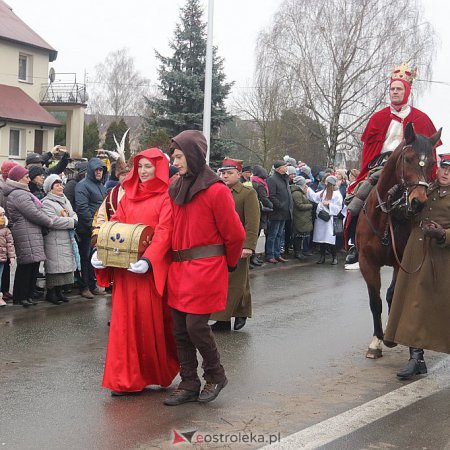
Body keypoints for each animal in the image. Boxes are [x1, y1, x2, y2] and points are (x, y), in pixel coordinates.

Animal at [356, 123, 442, 358]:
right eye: (408, 159)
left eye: (432, 163)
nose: (418, 202)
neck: (385, 217)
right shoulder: (367, 262)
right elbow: (375, 301)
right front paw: (376, 341)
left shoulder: (400, 261)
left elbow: (391, 295)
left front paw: (390, 338)